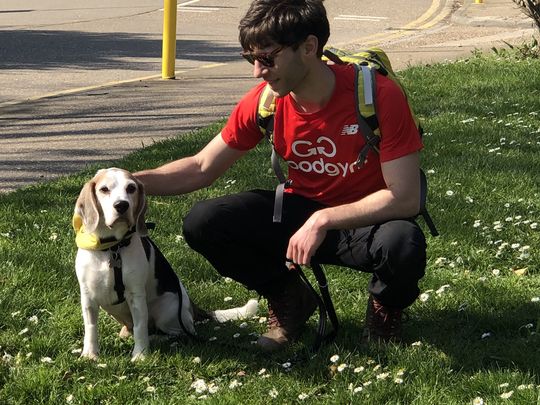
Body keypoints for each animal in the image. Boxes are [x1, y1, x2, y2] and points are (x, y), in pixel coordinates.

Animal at [73, 167, 258, 360]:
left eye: (131, 188)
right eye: (104, 189)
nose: (122, 205)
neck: (112, 248)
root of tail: (192, 307)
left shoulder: (136, 295)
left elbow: (140, 328)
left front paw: (140, 355)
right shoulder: (87, 297)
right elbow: (91, 328)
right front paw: (90, 354)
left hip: (167, 311)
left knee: (177, 334)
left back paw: (156, 338)